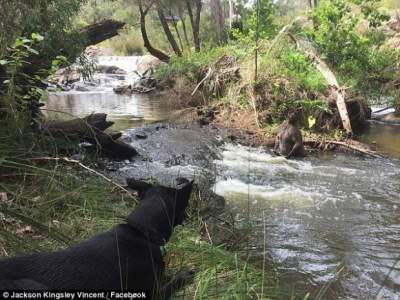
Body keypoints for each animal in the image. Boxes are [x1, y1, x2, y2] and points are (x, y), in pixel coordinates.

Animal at [0, 178, 194, 298]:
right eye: (184, 208)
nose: (188, 217)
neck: (141, 231)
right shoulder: (153, 293)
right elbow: (173, 283)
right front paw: (185, 274)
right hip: (33, 286)